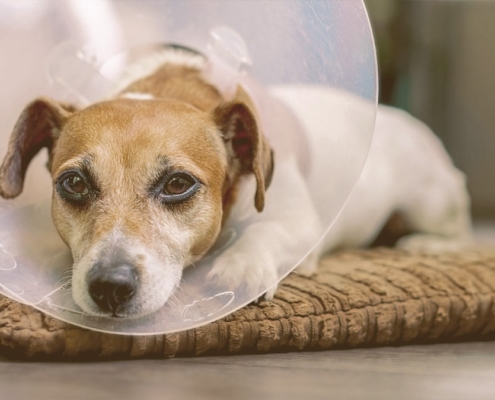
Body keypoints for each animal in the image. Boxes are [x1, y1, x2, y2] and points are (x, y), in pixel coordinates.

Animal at [0, 47, 472, 318]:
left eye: (178, 184)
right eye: (74, 183)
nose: (110, 288)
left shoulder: (301, 226)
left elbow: (266, 232)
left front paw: (241, 265)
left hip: (430, 202)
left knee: (460, 229)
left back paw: (425, 245)